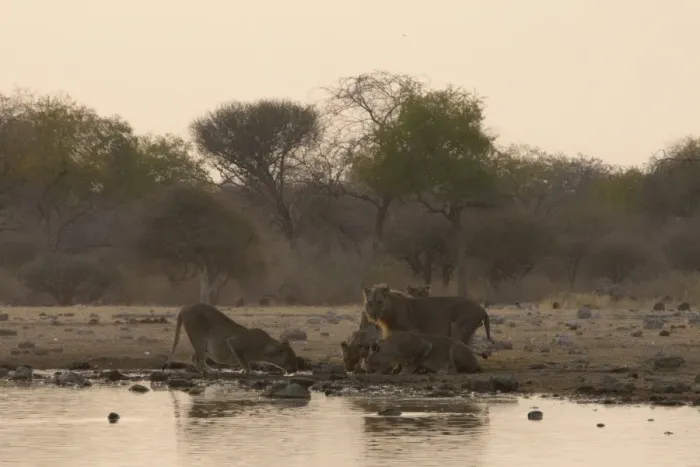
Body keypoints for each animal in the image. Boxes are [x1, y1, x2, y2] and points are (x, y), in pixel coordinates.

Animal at [163, 303, 299, 375]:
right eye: (291, 359)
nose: (296, 370)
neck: (265, 349)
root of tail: (185, 307)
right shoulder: (233, 342)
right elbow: (243, 360)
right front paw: (249, 371)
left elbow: (245, 361)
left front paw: (244, 371)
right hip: (198, 336)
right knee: (198, 359)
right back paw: (210, 371)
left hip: (202, 344)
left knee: (194, 357)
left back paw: (208, 370)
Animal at [362, 283, 494, 346]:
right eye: (370, 303)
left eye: (379, 302)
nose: (373, 315)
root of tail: (482, 309)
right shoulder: (392, 333)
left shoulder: (414, 330)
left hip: (459, 327)